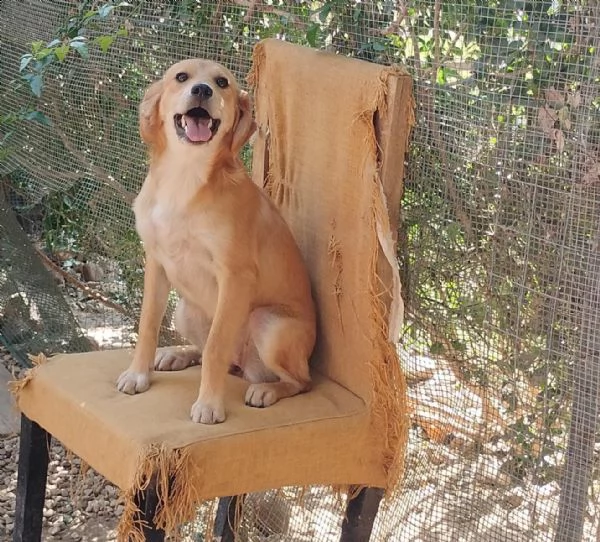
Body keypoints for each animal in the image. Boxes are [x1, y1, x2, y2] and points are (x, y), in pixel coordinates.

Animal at [114, 59, 316, 424]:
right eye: (181, 77)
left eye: (222, 82)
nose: (202, 90)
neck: (184, 179)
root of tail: (244, 366)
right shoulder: (156, 262)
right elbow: (148, 325)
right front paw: (138, 374)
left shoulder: (235, 276)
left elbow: (216, 346)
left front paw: (209, 404)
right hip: (185, 310)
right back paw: (179, 354)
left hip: (268, 323)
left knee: (301, 381)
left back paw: (267, 389)